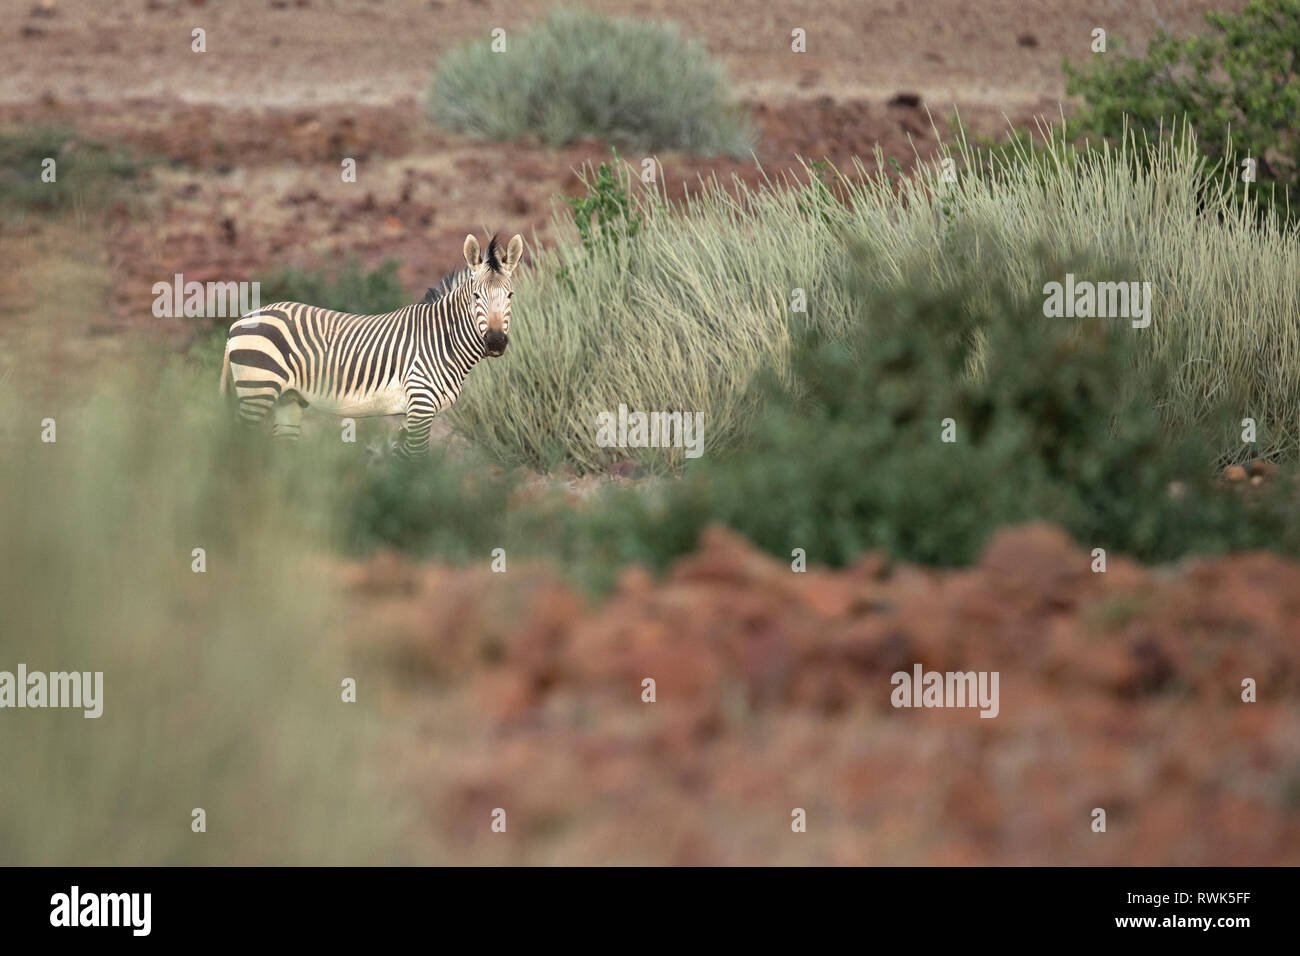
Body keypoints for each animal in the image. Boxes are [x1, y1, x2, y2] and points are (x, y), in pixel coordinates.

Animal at [219, 231, 522, 455]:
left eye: (510, 295)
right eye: (476, 296)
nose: (496, 341)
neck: (441, 340)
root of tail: (239, 322)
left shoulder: (411, 410)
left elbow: (402, 459)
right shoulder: (421, 404)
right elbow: (417, 458)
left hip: (287, 399)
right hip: (258, 390)